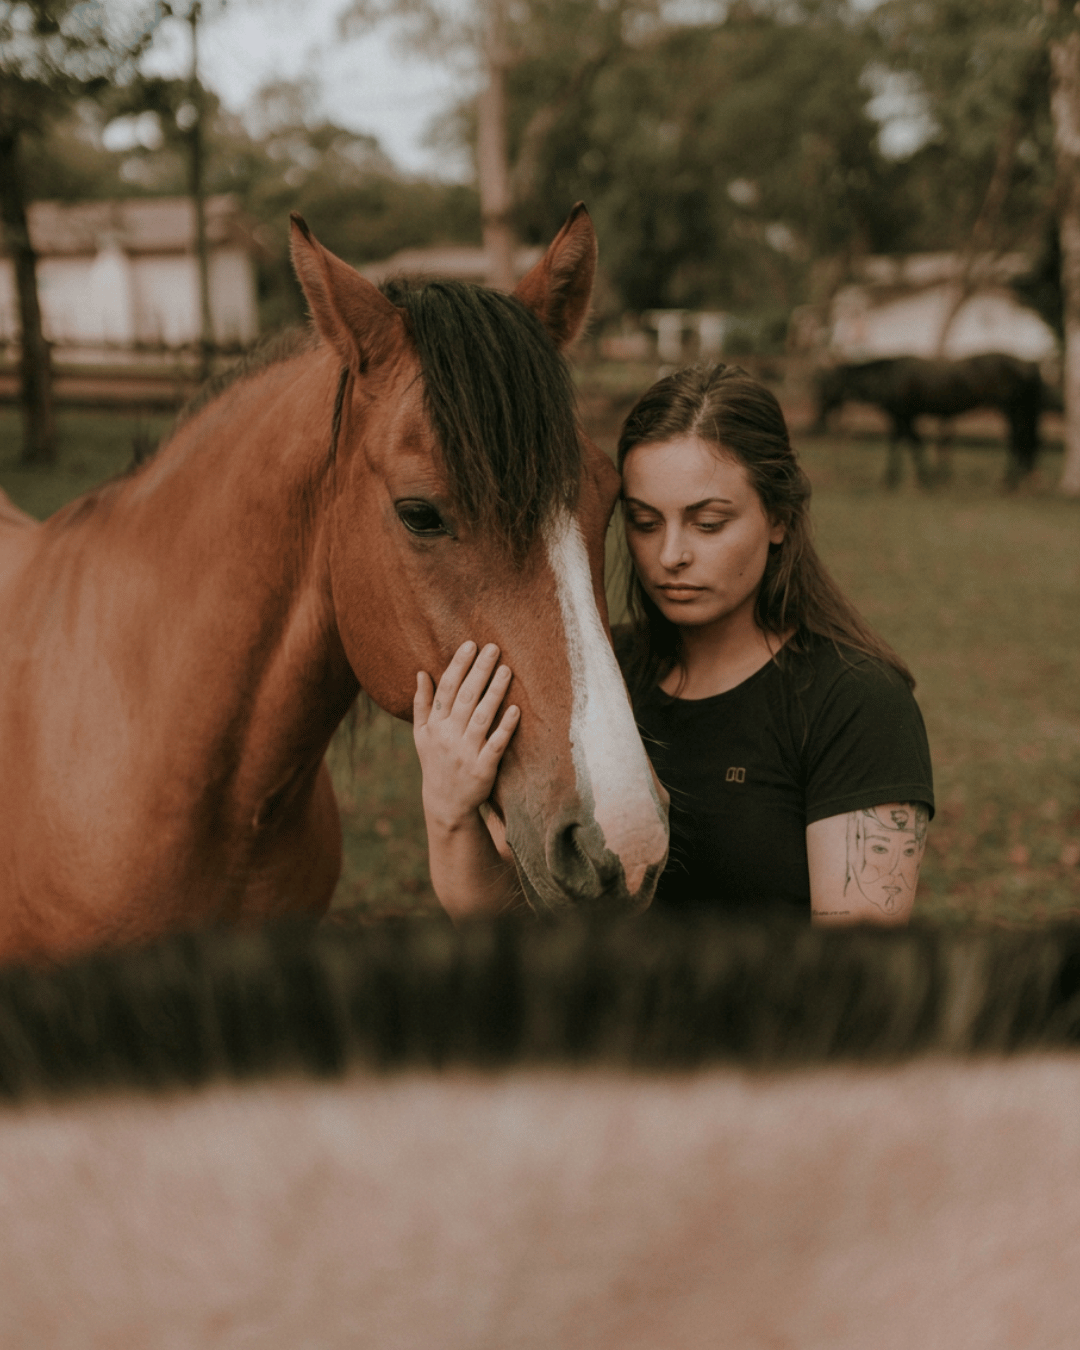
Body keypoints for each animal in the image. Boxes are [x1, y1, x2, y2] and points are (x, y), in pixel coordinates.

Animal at [812, 353, 1044, 488]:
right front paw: (906, 477)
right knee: (1024, 441)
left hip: (1010, 409)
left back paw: (1009, 480)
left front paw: (913, 479)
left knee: (1017, 439)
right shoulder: (902, 418)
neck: (888, 377)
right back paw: (1018, 477)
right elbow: (906, 443)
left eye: (827, 388)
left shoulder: (904, 417)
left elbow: (910, 443)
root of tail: (1028, 364)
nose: (819, 423)